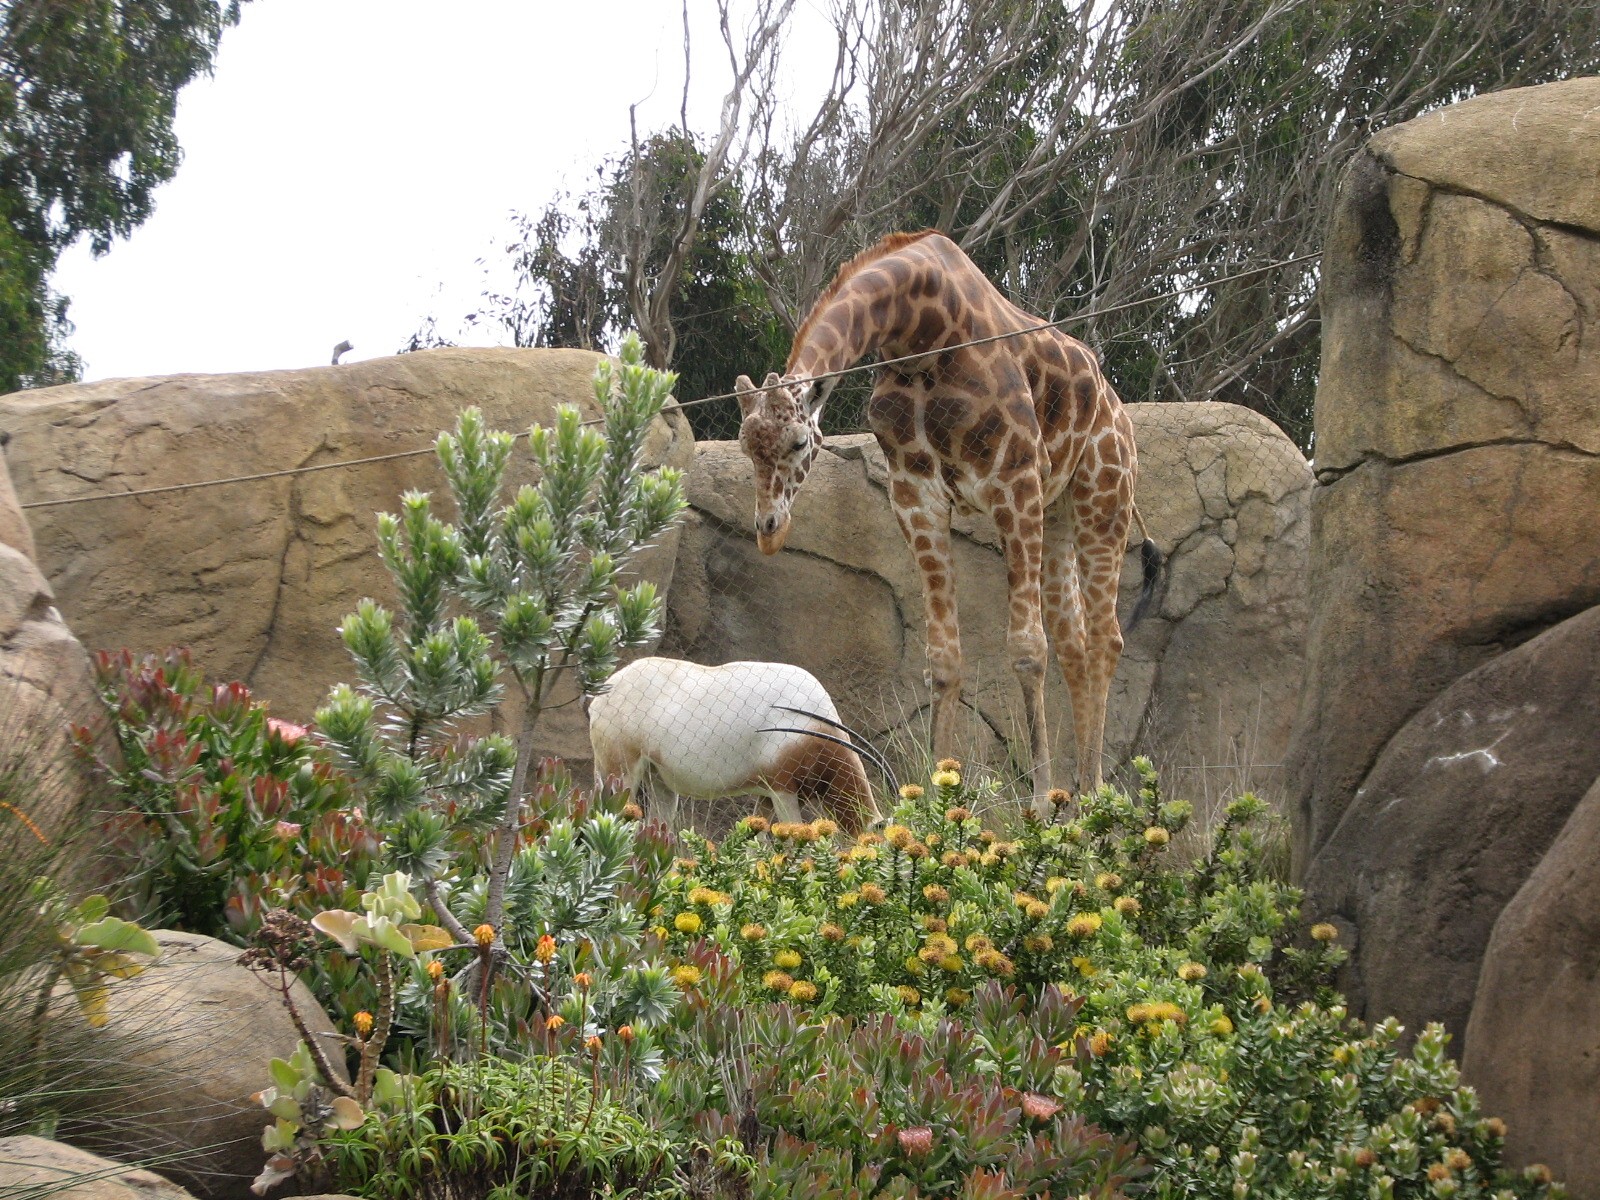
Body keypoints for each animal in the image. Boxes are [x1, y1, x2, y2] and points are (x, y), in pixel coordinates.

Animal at [734, 230, 1164, 812]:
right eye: (744, 447)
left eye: (801, 442)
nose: (769, 531)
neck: (917, 336)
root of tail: (1119, 411)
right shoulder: (917, 497)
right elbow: (943, 657)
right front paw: (933, 802)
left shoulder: (1014, 483)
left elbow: (1026, 649)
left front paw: (1036, 804)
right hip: (1058, 515)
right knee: (1074, 641)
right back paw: (1077, 801)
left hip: (1104, 495)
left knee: (1105, 638)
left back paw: (1094, 795)